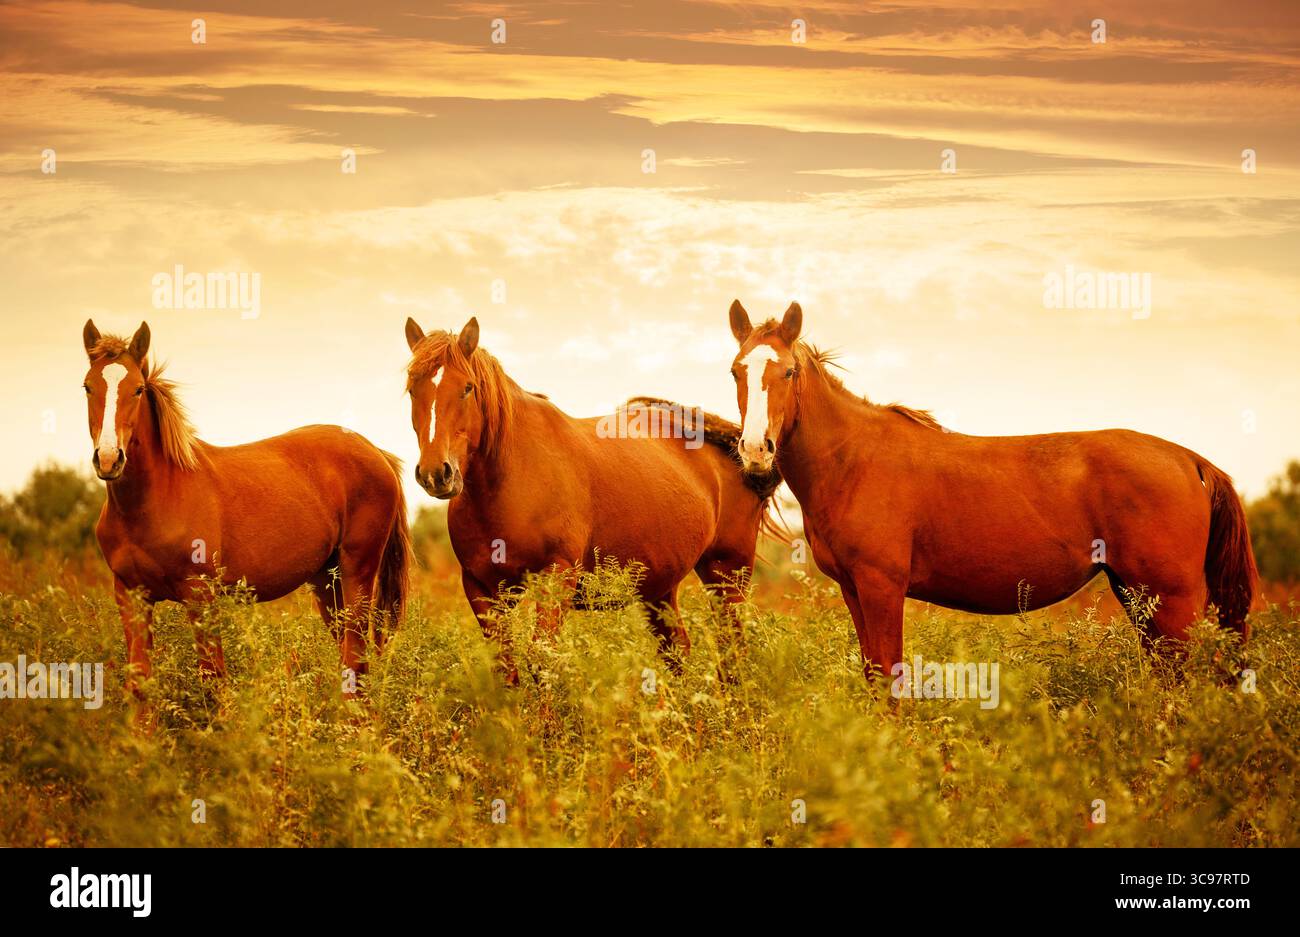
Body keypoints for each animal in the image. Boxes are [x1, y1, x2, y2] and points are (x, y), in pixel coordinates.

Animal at [82, 320, 410, 701]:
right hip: (327, 582)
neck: (153, 500)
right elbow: (140, 684)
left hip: (357, 572)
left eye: (137, 389)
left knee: (355, 657)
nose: (109, 459)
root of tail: (377, 453)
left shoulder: (201, 597)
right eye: (87, 387)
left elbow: (213, 680)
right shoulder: (131, 597)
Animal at [402, 316, 781, 680]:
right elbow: (506, 667)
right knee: (677, 653)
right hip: (660, 589)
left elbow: (541, 660)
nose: (436, 473)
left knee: (732, 653)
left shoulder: (556, 577)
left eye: (467, 387)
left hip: (726, 576)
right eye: (411, 389)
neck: (510, 478)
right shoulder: (481, 587)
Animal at [724, 300, 1257, 683]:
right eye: (736, 371)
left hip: (1173, 599)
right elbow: (874, 675)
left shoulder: (882, 588)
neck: (852, 459)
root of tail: (1190, 460)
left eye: (788, 372)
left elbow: (891, 677)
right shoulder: (854, 590)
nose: (755, 449)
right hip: (1138, 595)